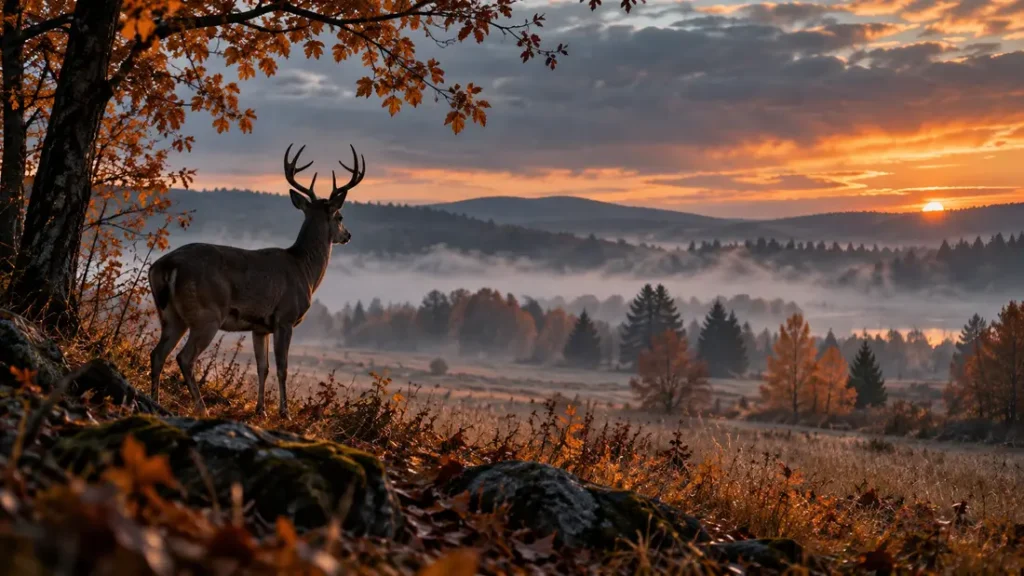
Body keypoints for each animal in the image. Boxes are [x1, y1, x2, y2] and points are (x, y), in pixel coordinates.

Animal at [147, 143, 364, 418]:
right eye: (340, 217)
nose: (348, 236)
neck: (304, 270)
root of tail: (166, 266)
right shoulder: (285, 318)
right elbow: (282, 367)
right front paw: (284, 412)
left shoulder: (260, 327)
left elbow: (263, 367)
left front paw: (261, 410)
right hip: (206, 314)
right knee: (184, 358)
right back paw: (202, 408)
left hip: (170, 314)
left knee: (157, 354)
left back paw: (156, 403)